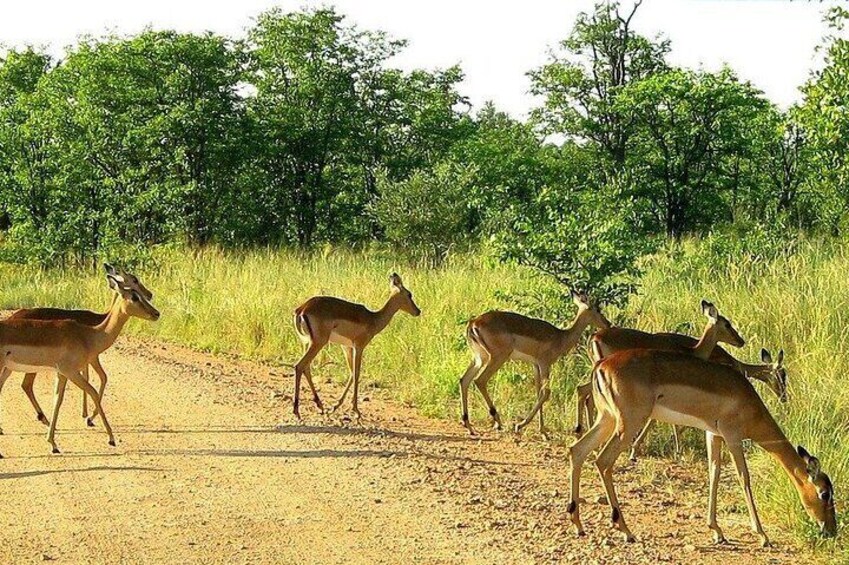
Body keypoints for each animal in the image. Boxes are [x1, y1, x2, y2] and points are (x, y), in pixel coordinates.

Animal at [0, 274, 159, 454]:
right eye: (134, 296)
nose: (156, 313)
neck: (89, 335)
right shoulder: (72, 371)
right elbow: (94, 391)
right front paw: (109, 437)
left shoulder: (62, 373)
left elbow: (57, 400)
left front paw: (53, 444)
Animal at [292, 270, 420, 420]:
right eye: (409, 294)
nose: (418, 311)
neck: (373, 319)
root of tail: (302, 309)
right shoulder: (359, 346)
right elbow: (357, 373)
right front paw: (356, 410)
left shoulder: (347, 347)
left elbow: (352, 373)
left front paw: (336, 406)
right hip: (318, 343)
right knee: (299, 366)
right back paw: (297, 410)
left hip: (308, 343)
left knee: (306, 368)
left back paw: (320, 405)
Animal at [460, 290, 608, 436]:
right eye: (597, 309)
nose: (608, 324)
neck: (561, 337)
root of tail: (473, 323)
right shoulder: (544, 364)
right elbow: (546, 393)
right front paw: (520, 426)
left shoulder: (536, 365)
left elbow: (538, 393)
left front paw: (542, 430)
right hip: (497, 358)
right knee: (479, 380)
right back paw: (497, 421)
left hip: (480, 358)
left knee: (464, 380)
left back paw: (469, 426)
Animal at [568, 348, 840, 548]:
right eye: (824, 493)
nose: (831, 530)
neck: (749, 403)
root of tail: (602, 365)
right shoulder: (732, 436)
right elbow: (743, 478)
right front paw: (762, 535)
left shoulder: (713, 434)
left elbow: (714, 474)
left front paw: (717, 531)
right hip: (627, 424)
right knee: (603, 461)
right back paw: (625, 530)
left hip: (607, 419)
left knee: (577, 450)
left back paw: (578, 524)